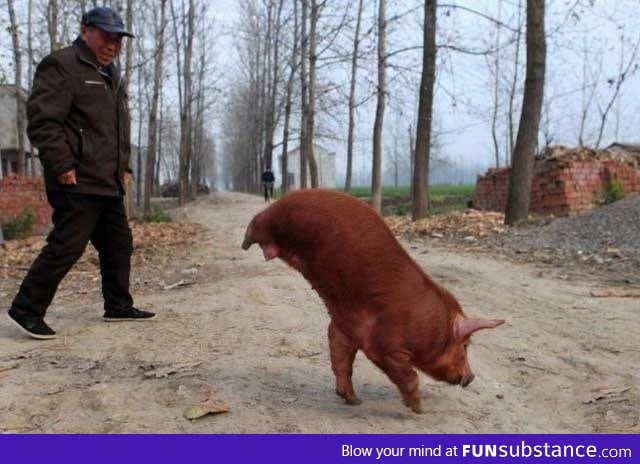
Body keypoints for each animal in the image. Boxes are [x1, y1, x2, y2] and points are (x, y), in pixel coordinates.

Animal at [241, 188, 504, 414]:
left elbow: (341, 360)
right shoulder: (383, 344)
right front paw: (418, 409)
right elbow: (407, 374)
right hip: (271, 222)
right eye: (465, 345)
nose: (471, 377)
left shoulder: (345, 327)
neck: (430, 328)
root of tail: (285, 198)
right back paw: (244, 244)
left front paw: (353, 401)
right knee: (254, 224)